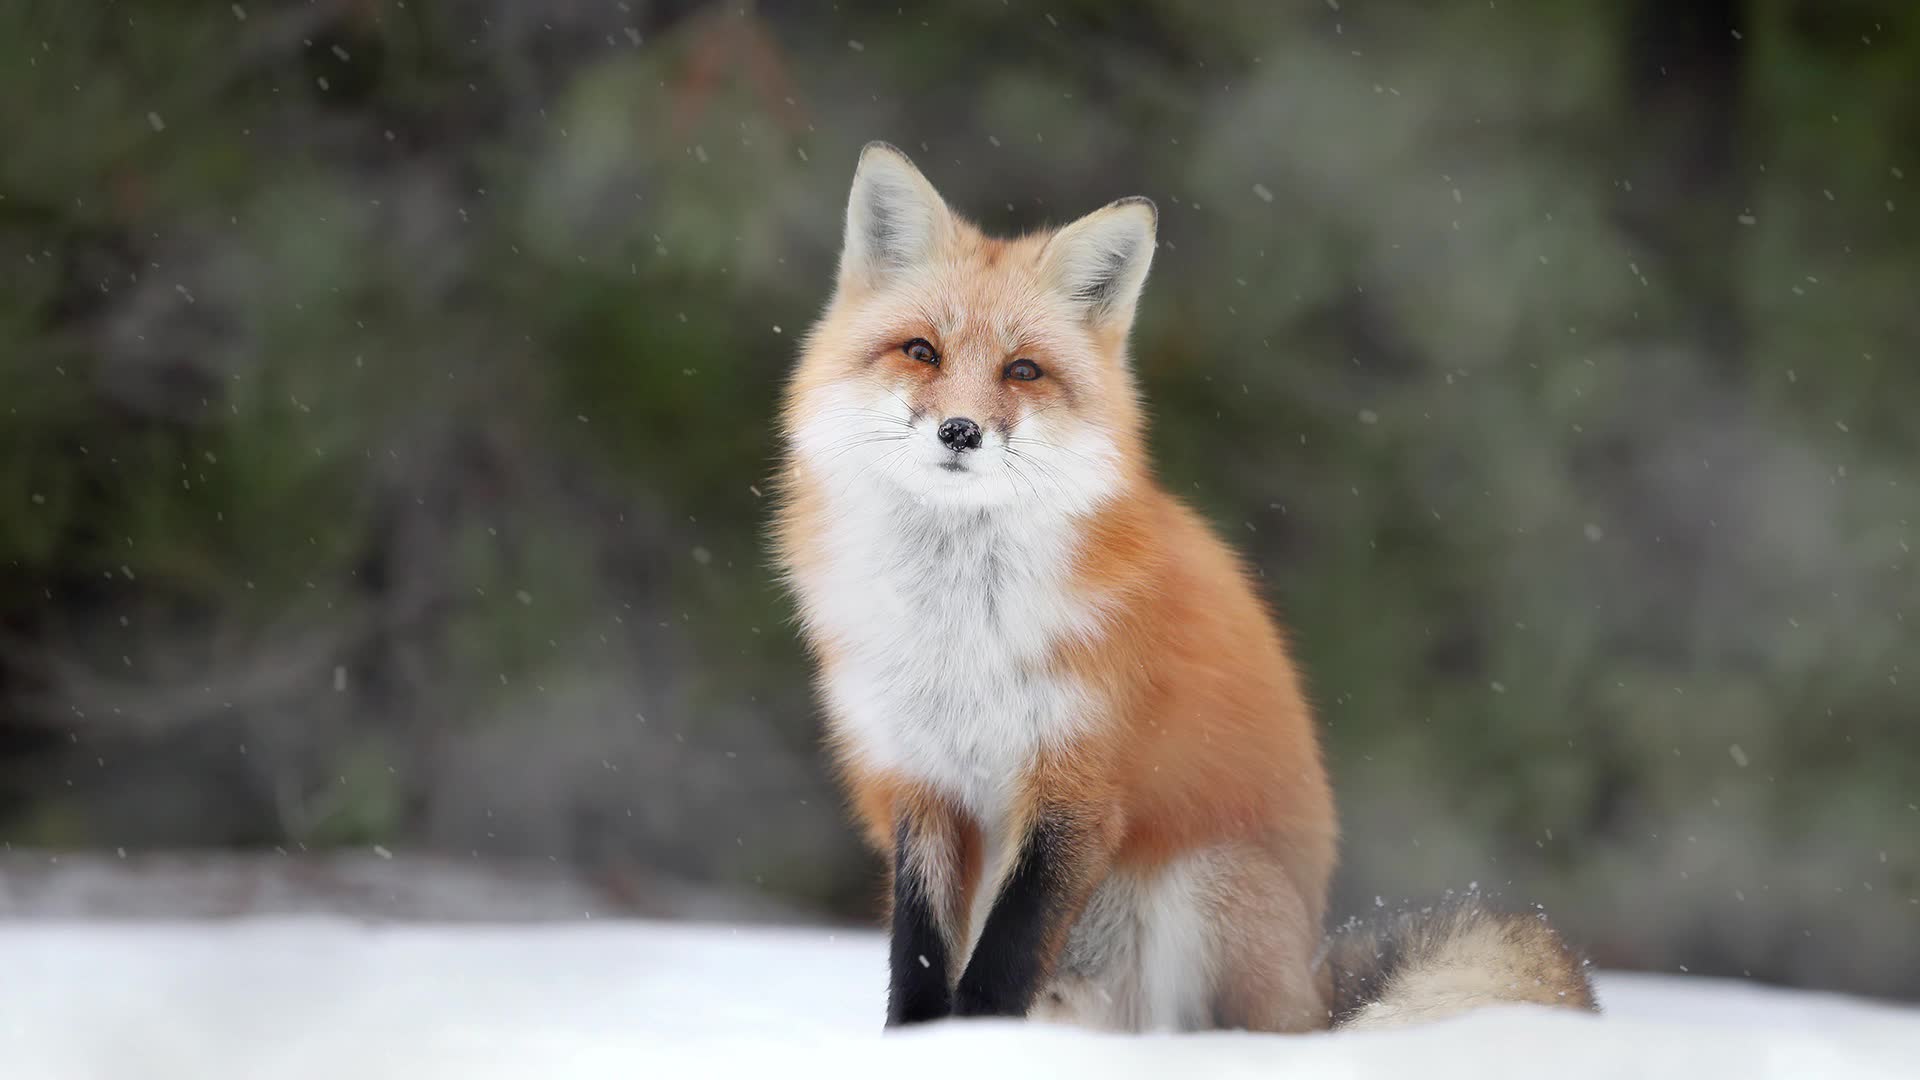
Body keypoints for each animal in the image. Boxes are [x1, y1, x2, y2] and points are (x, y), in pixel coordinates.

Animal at [772, 141, 1598, 1034]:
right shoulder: (920, 782)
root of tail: (1315, 992)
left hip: (1201, 884)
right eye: (921, 351)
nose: (961, 431)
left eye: (1023, 370)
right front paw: (917, 1047)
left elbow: (1003, 960)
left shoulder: (1077, 786)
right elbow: (918, 957)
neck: (960, 631)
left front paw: (983, 1042)